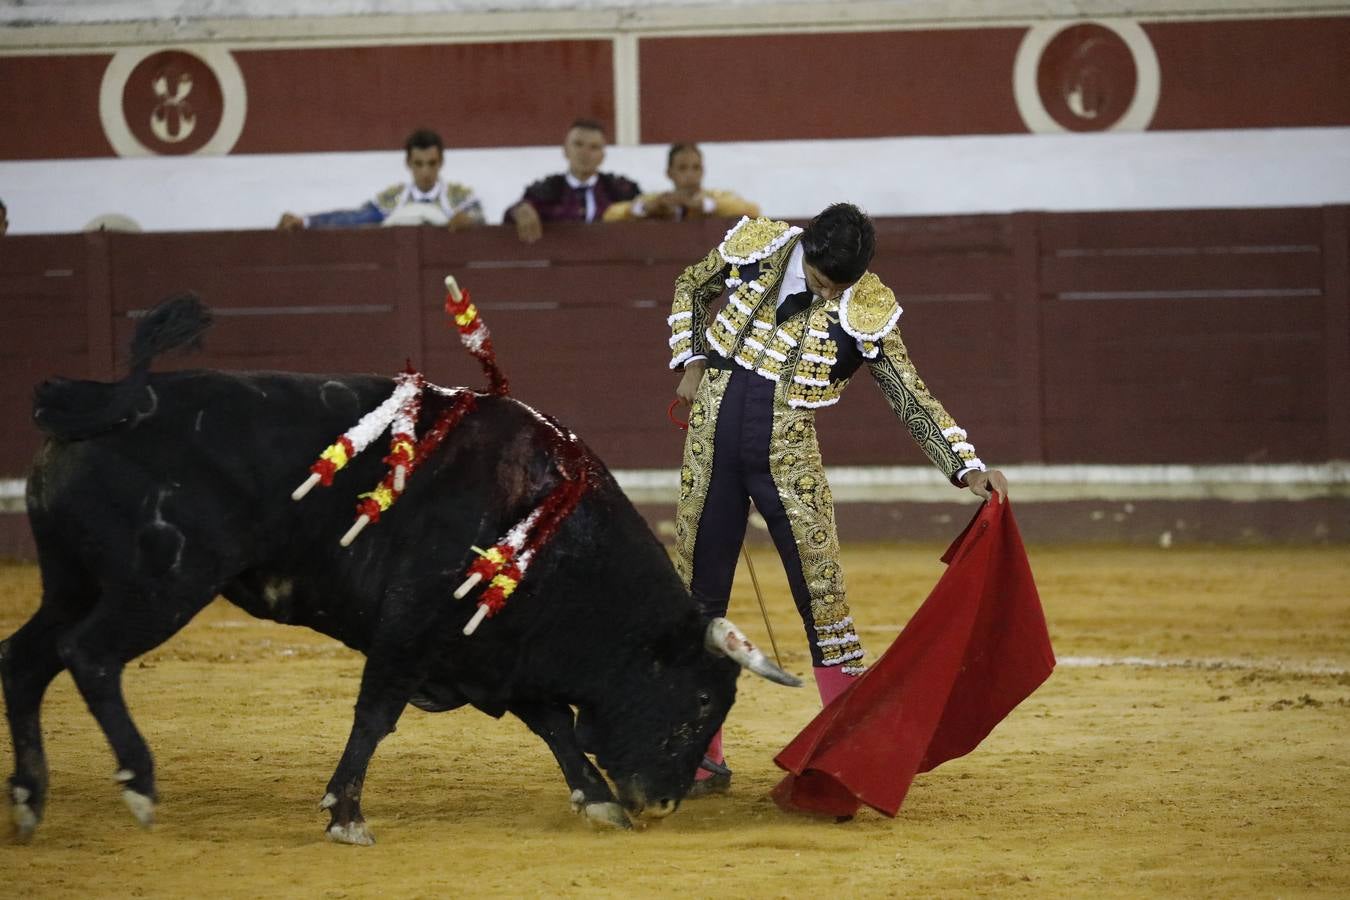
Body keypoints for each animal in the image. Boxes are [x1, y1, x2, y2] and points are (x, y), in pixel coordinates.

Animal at [0, 296, 793, 847]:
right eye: (700, 699)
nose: (660, 804)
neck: (549, 521)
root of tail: (111, 400)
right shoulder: (413, 625)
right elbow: (376, 714)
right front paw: (346, 815)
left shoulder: (495, 647)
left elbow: (554, 726)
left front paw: (596, 802)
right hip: (161, 584)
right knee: (89, 655)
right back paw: (137, 783)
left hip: (73, 581)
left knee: (26, 658)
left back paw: (30, 799)